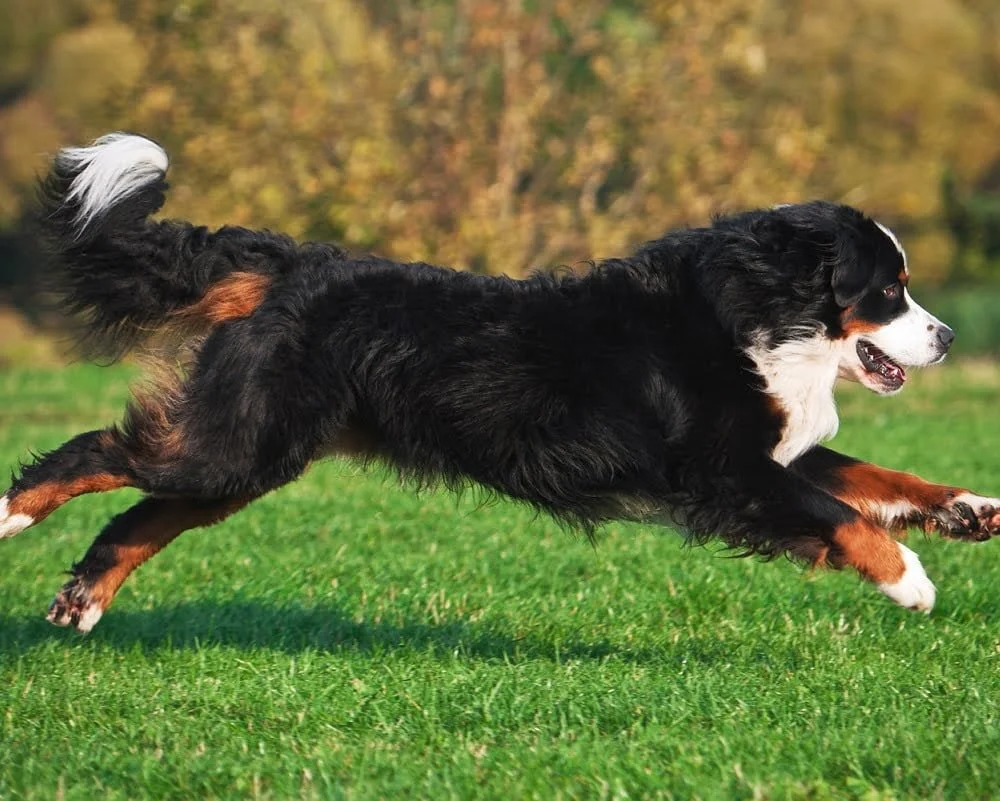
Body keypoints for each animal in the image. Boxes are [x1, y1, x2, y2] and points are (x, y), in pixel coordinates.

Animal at [1, 133, 1000, 632]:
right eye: (888, 289)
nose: (949, 336)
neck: (755, 310)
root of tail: (289, 263)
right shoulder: (727, 470)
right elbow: (839, 515)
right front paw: (911, 580)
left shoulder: (772, 451)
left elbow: (873, 481)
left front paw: (968, 508)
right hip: (235, 445)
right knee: (99, 452)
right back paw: (10, 514)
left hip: (253, 455)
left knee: (143, 515)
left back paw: (83, 596)